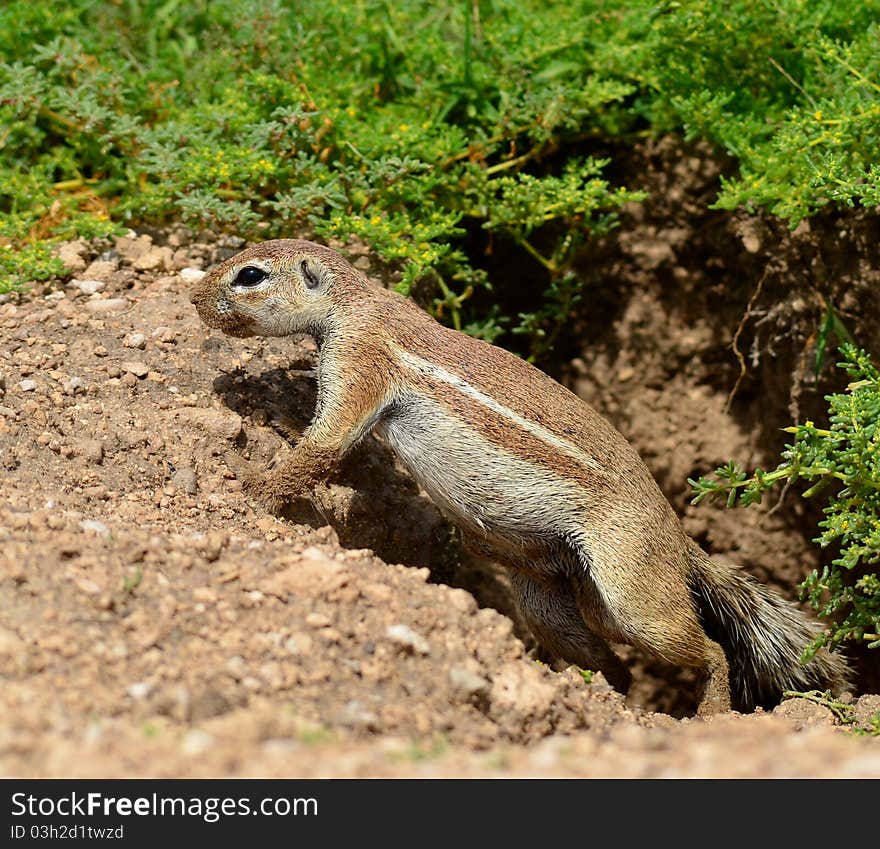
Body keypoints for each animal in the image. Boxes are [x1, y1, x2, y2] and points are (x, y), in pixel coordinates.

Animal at [189, 235, 848, 712]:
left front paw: (251, 492)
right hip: (556, 600)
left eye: (251, 275)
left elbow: (323, 447)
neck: (356, 302)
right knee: (607, 657)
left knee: (708, 650)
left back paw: (706, 711)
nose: (194, 300)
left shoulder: (362, 361)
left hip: (633, 591)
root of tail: (679, 537)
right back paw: (594, 694)